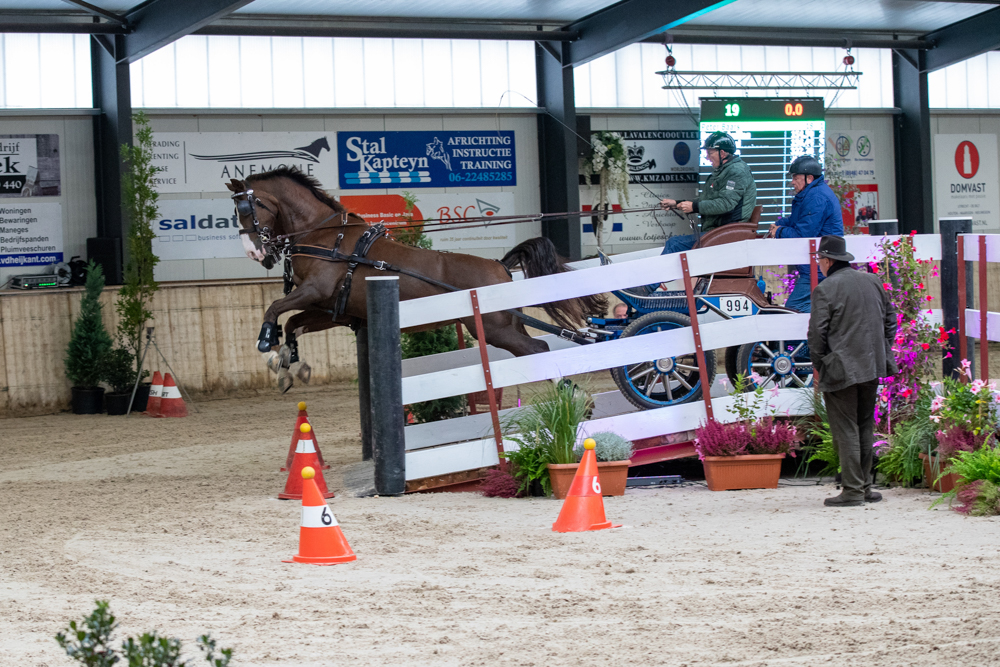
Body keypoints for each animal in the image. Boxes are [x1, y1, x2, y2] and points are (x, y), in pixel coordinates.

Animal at [226, 167, 600, 392]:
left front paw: (267, 345)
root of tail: (500, 267)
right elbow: (293, 324)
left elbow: (275, 309)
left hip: (497, 329)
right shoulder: (330, 309)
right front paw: (287, 364)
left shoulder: (313, 292)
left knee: (538, 349)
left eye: (247, 209)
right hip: (507, 326)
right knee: (534, 351)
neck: (325, 237)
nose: (255, 253)